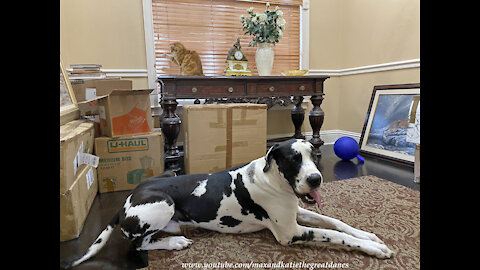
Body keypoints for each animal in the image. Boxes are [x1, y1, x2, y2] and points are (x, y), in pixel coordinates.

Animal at [61, 138, 390, 268]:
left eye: (313, 155)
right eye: (294, 159)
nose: (316, 179)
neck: (273, 181)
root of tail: (125, 201)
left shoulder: (298, 213)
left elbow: (335, 222)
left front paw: (370, 235)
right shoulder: (289, 233)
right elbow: (334, 235)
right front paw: (374, 249)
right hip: (163, 203)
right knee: (138, 246)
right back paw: (174, 243)